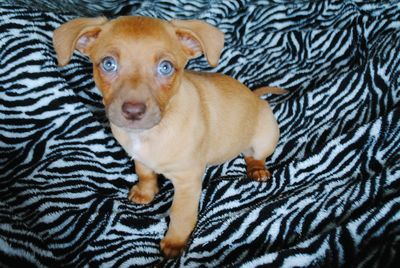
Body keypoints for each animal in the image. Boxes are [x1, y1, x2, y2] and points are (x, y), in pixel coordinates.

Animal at [53, 16, 282, 258]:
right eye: (108, 64)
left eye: (165, 68)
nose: (133, 111)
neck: (150, 133)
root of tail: (255, 97)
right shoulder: (139, 158)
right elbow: (144, 173)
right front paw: (145, 192)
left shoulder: (188, 182)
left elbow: (181, 215)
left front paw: (175, 243)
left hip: (266, 137)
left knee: (255, 155)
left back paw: (257, 169)